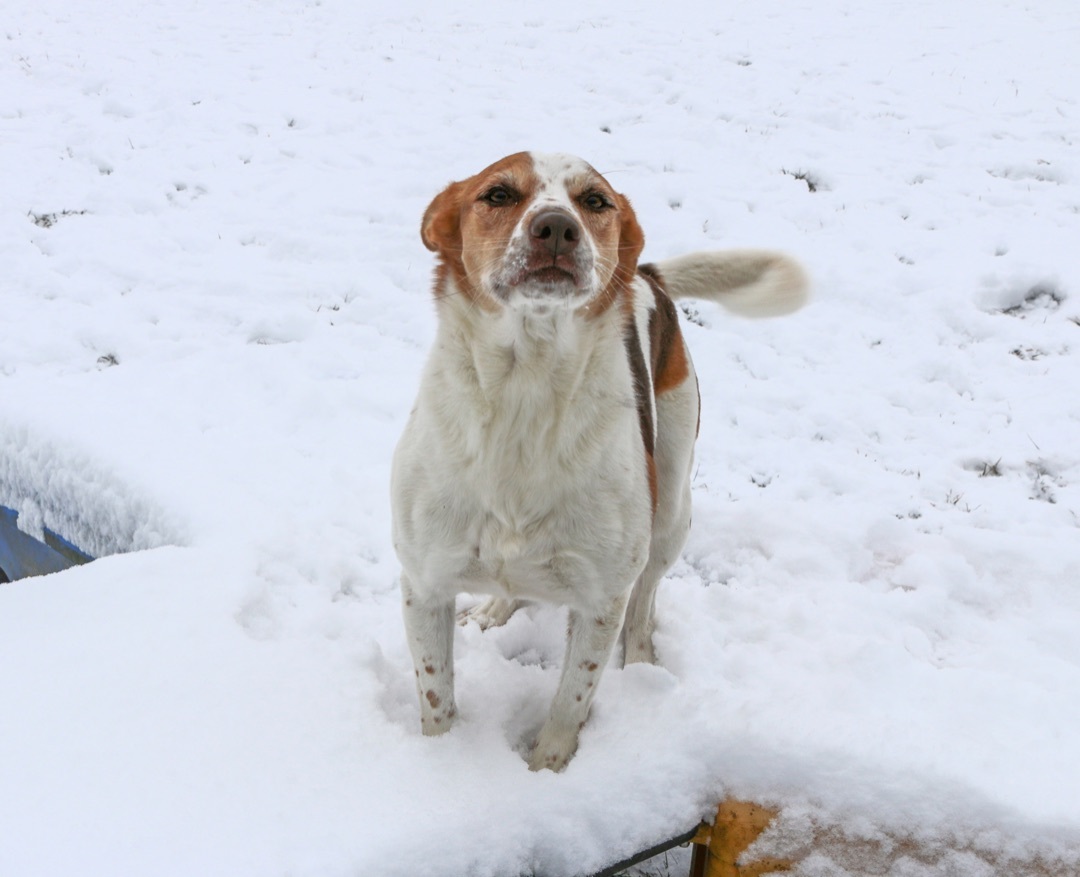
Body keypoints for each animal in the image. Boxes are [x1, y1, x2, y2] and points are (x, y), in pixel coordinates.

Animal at [393, 154, 807, 768]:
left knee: (645, 602)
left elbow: (570, 701)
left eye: (594, 202)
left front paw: (545, 769)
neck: (524, 397)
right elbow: (435, 698)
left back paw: (640, 663)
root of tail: (647, 275)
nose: (556, 228)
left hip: (670, 513)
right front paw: (440, 762)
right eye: (497, 194)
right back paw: (493, 610)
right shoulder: (424, 585)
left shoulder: (599, 602)